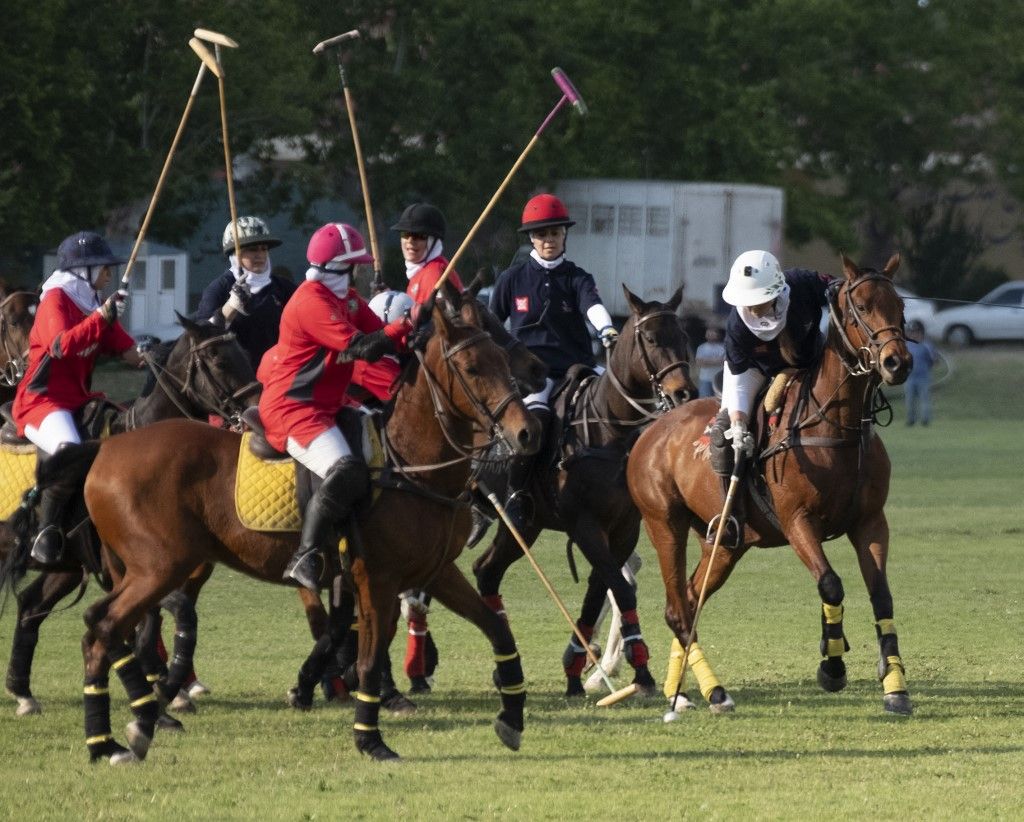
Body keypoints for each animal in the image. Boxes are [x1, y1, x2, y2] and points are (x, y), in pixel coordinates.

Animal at [3, 317, 260, 716]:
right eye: (218, 358)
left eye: (244, 352)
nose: (253, 412)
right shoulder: (133, 570)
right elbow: (155, 618)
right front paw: (163, 684)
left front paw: (166, 685)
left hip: (66, 567)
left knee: (32, 604)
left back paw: (23, 692)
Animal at [46, 296, 544, 765]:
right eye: (472, 367)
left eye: (502, 360)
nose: (526, 434)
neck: (410, 465)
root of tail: (105, 450)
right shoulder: (376, 580)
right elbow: (367, 659)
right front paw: (370, 739)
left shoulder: (436, 572)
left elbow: (498, 630)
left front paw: (512, 718)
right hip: (159, 567)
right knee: (108, 625)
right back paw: (132, 725)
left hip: (145, 569)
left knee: (100, 630)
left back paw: (113, 737)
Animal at [471, 286, 696, 696]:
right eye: (651, 338)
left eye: (684, 336)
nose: (684, 392)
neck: (609, 429)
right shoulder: (585, 525)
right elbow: (618, 588)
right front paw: (628, 668)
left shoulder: (623, 528)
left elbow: (601, 589)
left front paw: (586, 669)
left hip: (524, 526)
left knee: (486, 571)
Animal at [626, 253, 917, 716]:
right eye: (861, 308)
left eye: (900, 307)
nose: (897, 363)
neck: (839, 425)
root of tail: (652, 430)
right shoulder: (798, 520)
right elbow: (830, 583)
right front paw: (832, 667)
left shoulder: (871, 522)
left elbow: (882, 595)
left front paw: (895, 687)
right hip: (664, 525)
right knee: (677, 608)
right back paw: (714, 692)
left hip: (724, 543)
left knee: (690, 598)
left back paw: (683, 691)